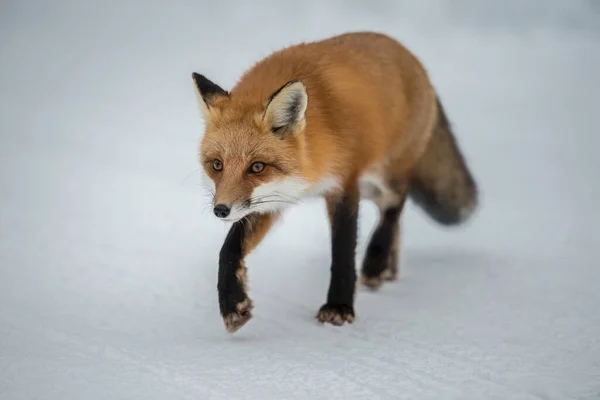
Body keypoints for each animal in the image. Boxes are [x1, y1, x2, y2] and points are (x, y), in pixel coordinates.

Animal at [192, 31, 478, 332]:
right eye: (217, 165)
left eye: (257, 167)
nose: (220, 210)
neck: (309, 167)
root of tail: (410, 56)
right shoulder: (271, 198)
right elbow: (229, 249)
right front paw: (232, 305)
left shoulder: (344, 184)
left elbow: (343, 250)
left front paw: (339, 307)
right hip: (371, 186)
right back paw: (389, 267)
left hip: (385, 174)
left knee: (396, 203)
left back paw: (376, 263)